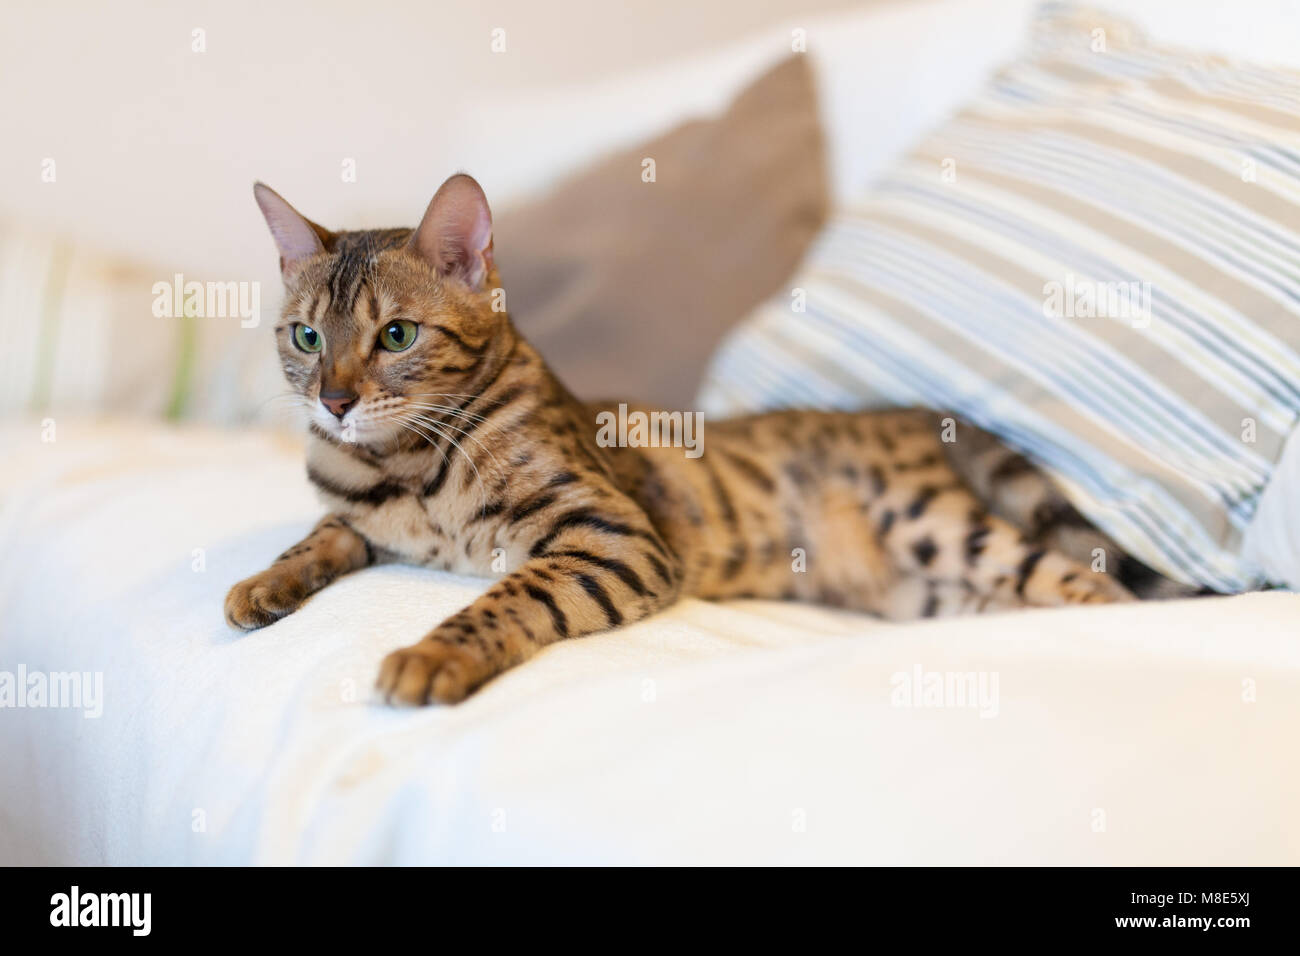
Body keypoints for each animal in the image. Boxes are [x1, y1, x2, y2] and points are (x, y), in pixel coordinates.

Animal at [223, 175, 1190, 707]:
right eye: (306, 338)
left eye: (396, 336)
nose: (335, 401)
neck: (407, 466)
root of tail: (921, 411)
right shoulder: (361, 513)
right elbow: (322, 533)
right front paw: (262, 582)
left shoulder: (610, 534)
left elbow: (501, 598)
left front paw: (434, 653)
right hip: (931, 594)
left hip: (942, 525)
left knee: (1098, 585)